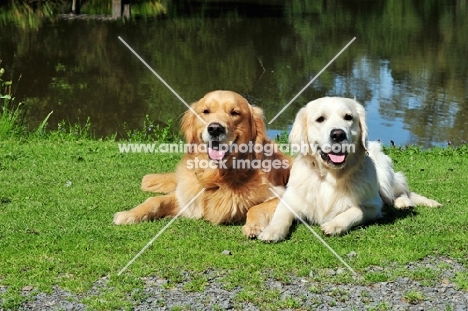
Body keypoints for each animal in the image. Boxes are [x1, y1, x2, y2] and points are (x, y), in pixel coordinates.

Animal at [258, 96, 440, 243]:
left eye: (348, 117)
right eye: (320, 119)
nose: (338, 134)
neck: (330, 176)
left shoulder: (373, 206)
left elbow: (355, 211)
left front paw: (334, 224)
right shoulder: (290, 200)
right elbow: (280, 216)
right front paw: (272, 231)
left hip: (384, 175)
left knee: (399, 192)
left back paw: (404, 203)